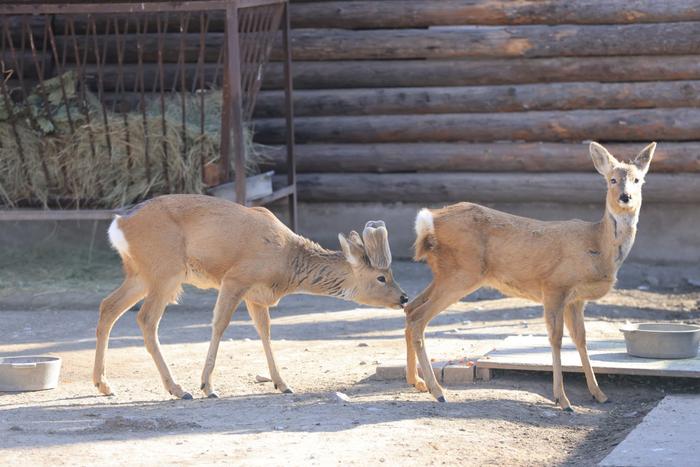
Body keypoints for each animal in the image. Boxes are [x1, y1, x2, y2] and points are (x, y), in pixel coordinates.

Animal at [95, 194, 408, 398]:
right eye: (381, 277)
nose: (404, 297)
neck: (286, 263)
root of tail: (118, 225)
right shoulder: (236, 278)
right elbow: (220, 326)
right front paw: (207, 387)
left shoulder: (256, 295)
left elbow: (264, 331)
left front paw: (282, 383)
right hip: (165, 271)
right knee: (146, 319)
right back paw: (178, 389)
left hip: (140, 274)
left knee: (108, 307)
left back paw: (104, 385)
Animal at [404, 141, 656, 412]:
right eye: (612, 179)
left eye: (638, 179)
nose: (625, 197)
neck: (598, 245)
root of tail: (428, 221)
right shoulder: (555, 285)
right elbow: (556, 338)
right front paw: (562, 400)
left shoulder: (576, 299)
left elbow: (581, 339)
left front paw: (599, 394)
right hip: (462, 272)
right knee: (418, 318)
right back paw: (438, 391)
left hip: (445, 273)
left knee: (409, 308)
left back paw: (417, 382)